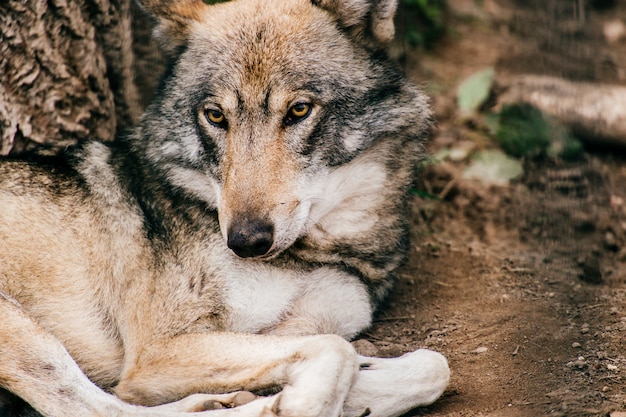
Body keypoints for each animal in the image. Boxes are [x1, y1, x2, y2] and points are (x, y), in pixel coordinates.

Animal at [0, 0, 448, 414]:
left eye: (299, 110)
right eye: (215, 116)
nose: (245, 241)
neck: (323, 251)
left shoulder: (303, 325)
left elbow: (427, 365)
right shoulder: (158, 351)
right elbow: (338, 351)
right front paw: (299, 404)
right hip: (22, 332)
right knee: (92, 405)